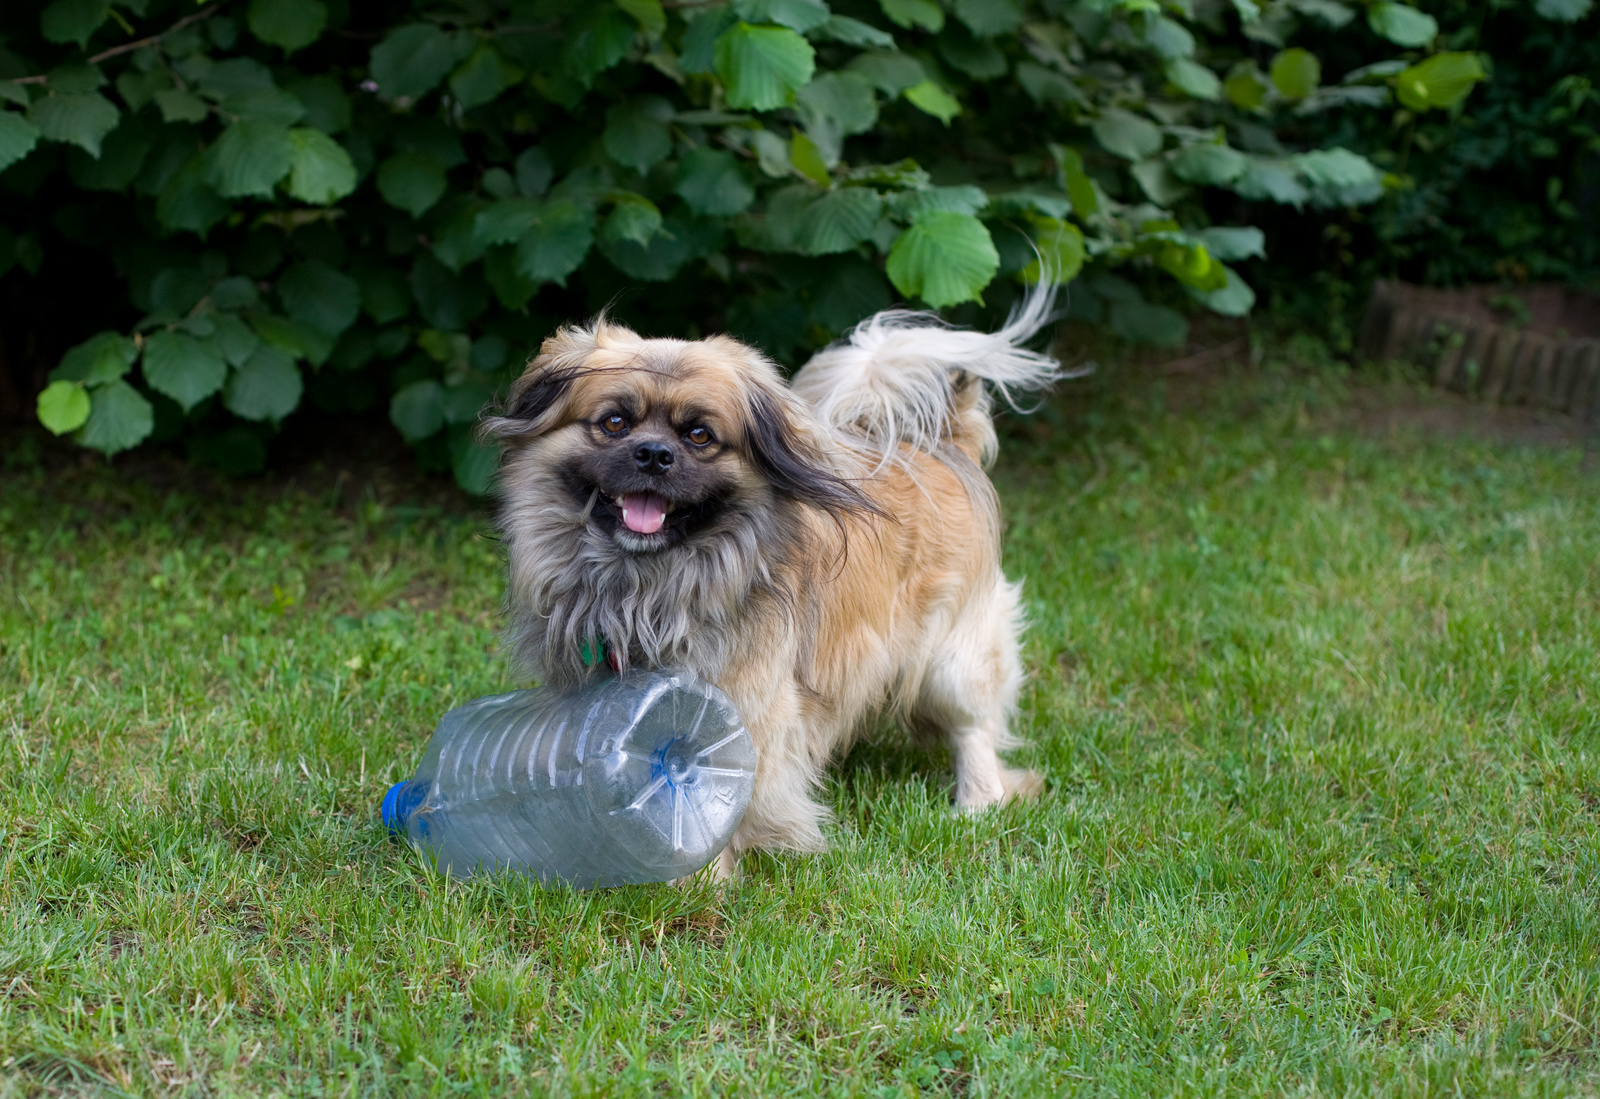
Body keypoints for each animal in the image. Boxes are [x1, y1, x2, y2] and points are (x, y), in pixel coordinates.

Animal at [486, 283, 1062, 876]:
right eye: (615, 423)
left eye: (699, 435)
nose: (653, 454)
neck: (646, 586)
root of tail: (939, 443)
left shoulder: (746, 711)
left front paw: (704, 880)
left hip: (954, 661)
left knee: (974, 731)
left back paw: (975, 807)